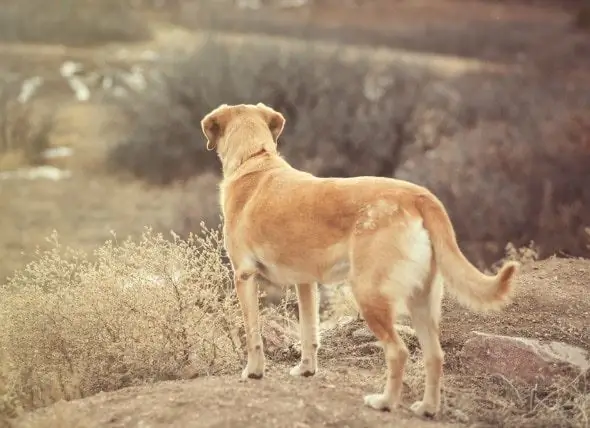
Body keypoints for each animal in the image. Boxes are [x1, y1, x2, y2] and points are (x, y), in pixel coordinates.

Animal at [201, 103, 520, 418]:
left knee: (398, 352)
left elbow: (252, 333)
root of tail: (418, 195)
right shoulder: (306, 283)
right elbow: (309, 331)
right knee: (434, 355)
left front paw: (253, 372)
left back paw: (385, 402)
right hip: (421, 300)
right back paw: (427, 408)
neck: (254, 158)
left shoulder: (244, 276)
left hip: (369, 294)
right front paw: (306, 370)